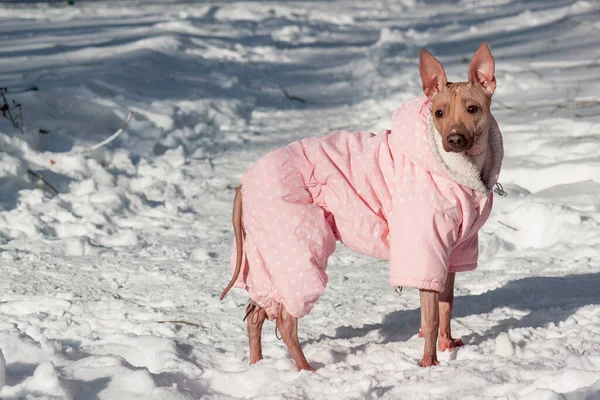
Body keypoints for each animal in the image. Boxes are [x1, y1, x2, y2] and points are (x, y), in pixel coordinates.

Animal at [220, 43, 502, 368]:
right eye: (439, 113)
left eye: (473, 109)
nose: (453, 139)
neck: (458, 171)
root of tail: (245, 182)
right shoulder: (424, 249)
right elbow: (430, 319)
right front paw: (429, 364)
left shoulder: (453, 252)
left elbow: (446, 306)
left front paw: (446, 345)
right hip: (295, 249)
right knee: (285, 320)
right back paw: (306, 370)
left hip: (265, 254)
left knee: (256, 313)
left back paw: (257, 364)